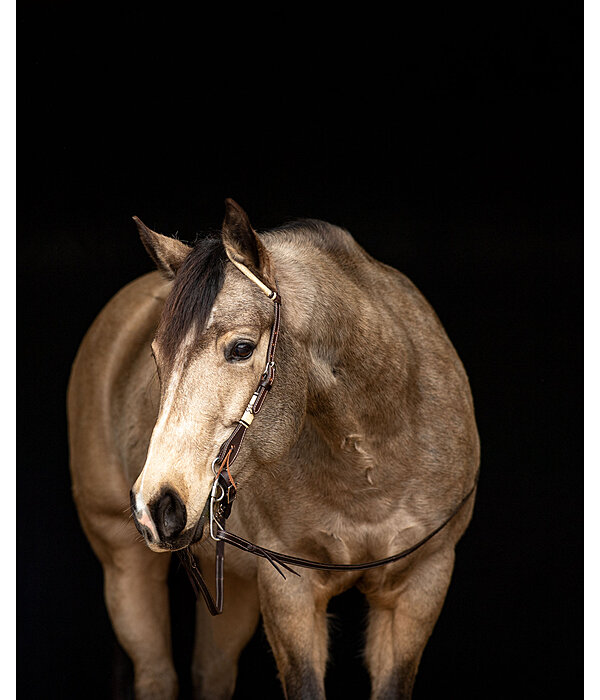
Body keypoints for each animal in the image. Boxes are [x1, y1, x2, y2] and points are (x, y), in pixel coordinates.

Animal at [67, 198, 478, 700]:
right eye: (156, 357)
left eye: (242, 348)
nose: (156, 505)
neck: (372, 464)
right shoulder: (291, 596)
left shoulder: (422, 584)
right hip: (124, 565)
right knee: (156, 675)